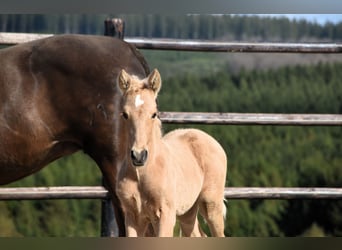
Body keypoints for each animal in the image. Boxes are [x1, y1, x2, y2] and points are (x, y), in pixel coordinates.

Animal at [115, 68, 227, 236]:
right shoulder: (133, 216)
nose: (139, 156)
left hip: (211, 204)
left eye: (154, 114)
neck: (141, 175)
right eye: (125, 114)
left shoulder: (165, 214)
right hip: (187, 210)